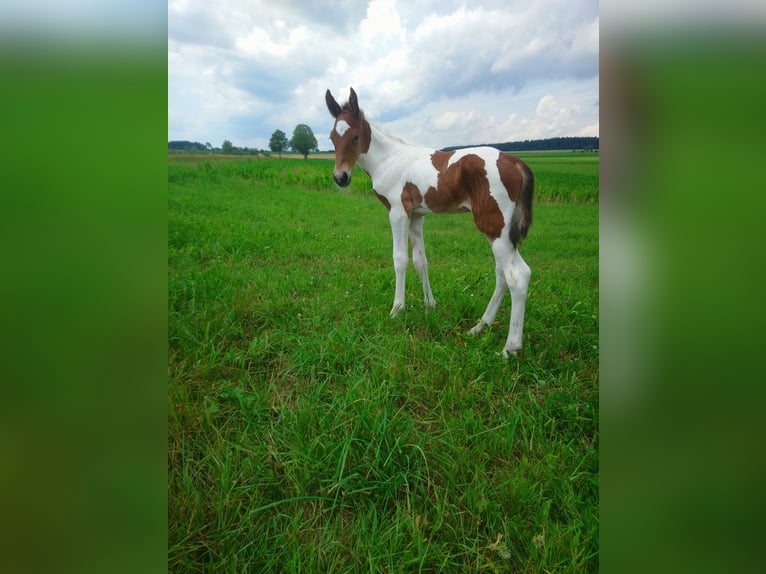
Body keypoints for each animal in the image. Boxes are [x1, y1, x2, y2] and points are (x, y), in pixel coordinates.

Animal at [326, 88, 536, 358]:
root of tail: (515, 161)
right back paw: (480, 327)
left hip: (494, 226)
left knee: (517, 275)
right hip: (503, 232)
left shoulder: (398, 213)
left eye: (354, 137)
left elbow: (400, 260)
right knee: (503, 273)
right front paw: (430, 305)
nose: (340, 178)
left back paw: (510, 347)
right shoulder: (416, 217)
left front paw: (397, 310)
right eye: (332, 138)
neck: (388, 159)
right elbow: (420, 261)